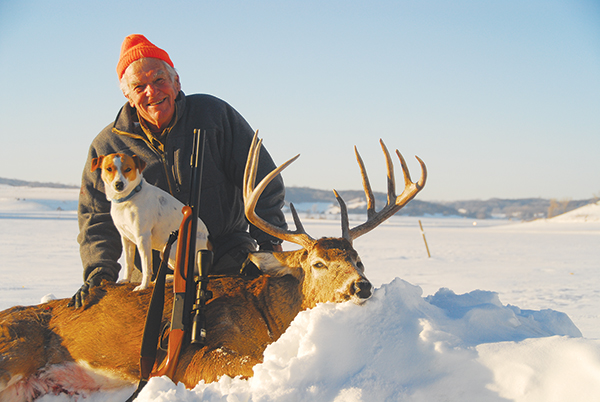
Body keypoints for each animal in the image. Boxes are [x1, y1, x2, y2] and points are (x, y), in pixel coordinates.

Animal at [90, 153, 210, 288]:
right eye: (109, 168)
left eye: (128, 169)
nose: (119, 184)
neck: (128, 198)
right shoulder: (126, 238)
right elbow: (128, 263)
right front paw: (126, 279)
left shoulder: (142, 237)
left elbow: (146, 266)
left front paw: (143, 286)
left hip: (171, 250)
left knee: (192, 274)